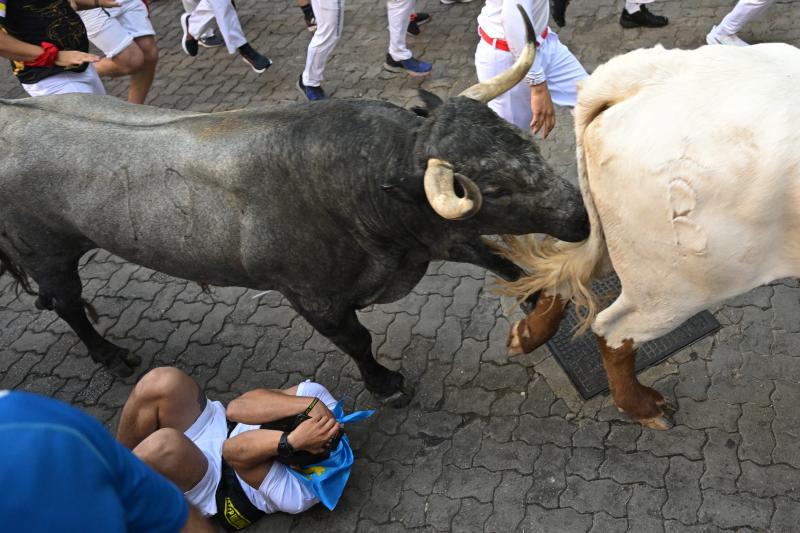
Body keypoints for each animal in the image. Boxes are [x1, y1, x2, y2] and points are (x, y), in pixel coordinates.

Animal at [0, 11, 588, 404]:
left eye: (523, 142)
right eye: (495, 189)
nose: (581, 215)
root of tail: (15, 111)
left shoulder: (437, 236)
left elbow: (502, 262)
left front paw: (538, 312)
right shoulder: (314, 299)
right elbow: (358, 340)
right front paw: (385, 384)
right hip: (47, 251)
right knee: (67, 303)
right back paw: (112, 357)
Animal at [500, 43, 800, 430]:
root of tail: (648, 74)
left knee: (564, 273)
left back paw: (526, 334)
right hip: (681, 283)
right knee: (613, 329)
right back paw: (641, 406)